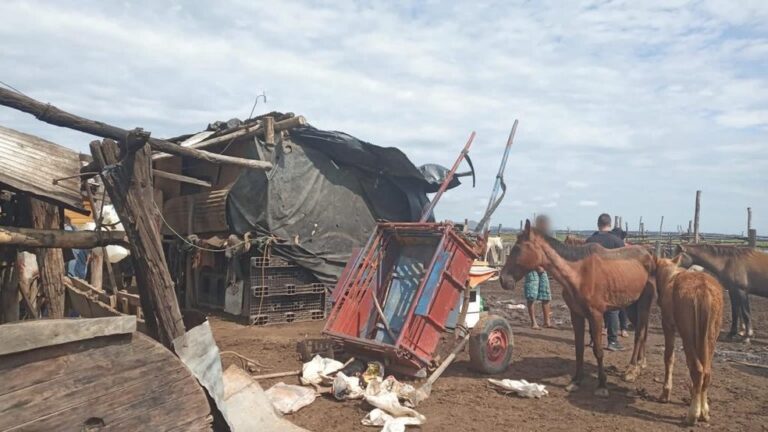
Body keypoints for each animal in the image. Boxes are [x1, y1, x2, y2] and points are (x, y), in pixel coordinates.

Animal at [500, 221, 656, 396]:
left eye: (518, 248)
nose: (502, 279)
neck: (579, 274)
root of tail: (649, 253)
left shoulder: (596, 315)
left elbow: (598, 351)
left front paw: (602, 385)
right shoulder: (576, 314)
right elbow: (579, 349)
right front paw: (576, 381)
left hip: (643, 304)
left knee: (639, 334)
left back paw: (632, 369)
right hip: (630, 307)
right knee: (642, 332)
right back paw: (640, 365)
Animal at [656, 256, 728, 426]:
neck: (670, 277)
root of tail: (703, 290)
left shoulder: (668, 325)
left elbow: (669, 357)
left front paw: (665, 393)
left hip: (687, 334)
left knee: (697, 369)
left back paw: (692, 415)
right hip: (710, 337)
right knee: (706, 371)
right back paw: (704, 412)